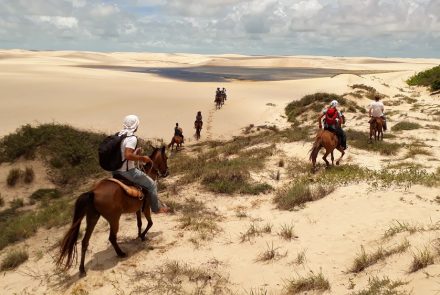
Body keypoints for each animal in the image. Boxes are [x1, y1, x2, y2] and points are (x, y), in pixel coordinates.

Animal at [56, 147, 168, 278]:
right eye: (166, 158)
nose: (167, 172)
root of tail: (93, 192)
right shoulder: (146, 207)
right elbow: (150, 223)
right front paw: (142, 236)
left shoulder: (137, 210)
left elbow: (139, 223)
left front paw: (140, 235)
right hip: (114, 219)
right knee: (112, 238)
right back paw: (121, 253)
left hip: (92, 218)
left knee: (85, 242)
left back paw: (82, 269)